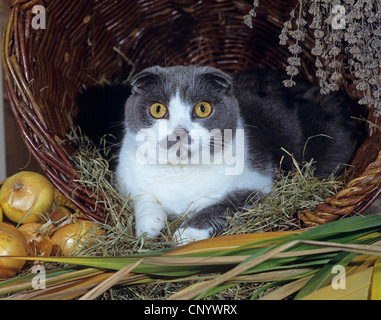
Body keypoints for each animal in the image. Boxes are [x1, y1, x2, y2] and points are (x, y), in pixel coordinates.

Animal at [111, 65, 360, 245]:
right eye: (158, 109)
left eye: (202, 109)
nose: (180, 132)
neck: (181, 171)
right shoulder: (128, 181)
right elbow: (144, 197)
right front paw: (147, 227)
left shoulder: (260, 187)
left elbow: (226, 205)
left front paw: (187, 233)